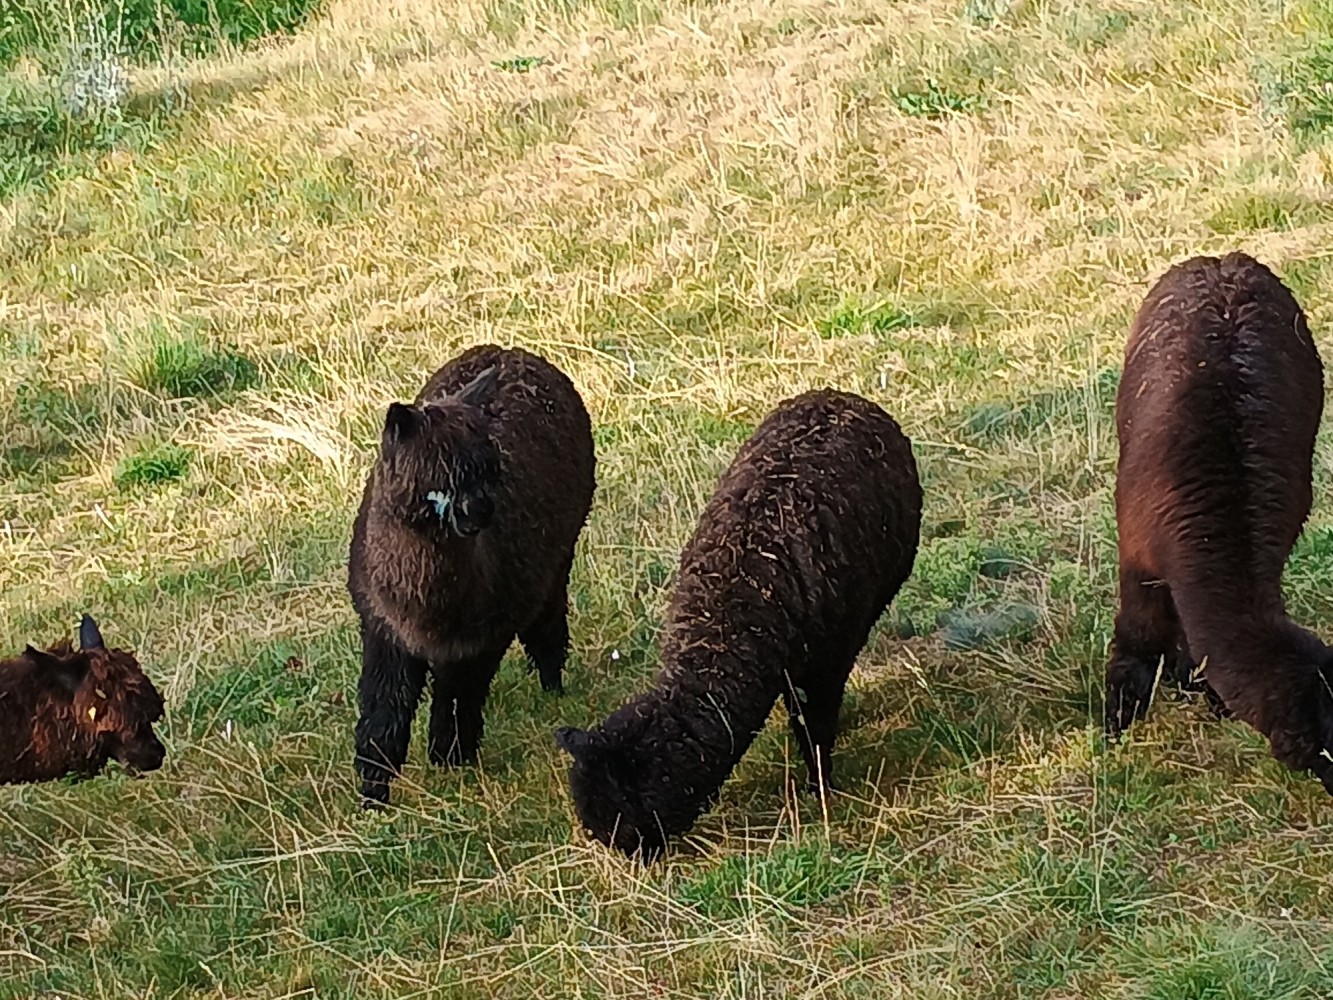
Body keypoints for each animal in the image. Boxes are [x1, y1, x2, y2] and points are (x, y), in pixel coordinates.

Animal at [349, 344, 596, 807]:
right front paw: (374, 792)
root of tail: (511, 350)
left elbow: (458, 699)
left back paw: (552, 687)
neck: (427, 613)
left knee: (548, 624)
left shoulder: (481, 637)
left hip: (558, 559)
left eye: (491, 467)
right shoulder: (382, 628)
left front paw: (450, 761)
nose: (480, 510)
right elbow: (383, 710)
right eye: (438, 471)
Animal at [555, 389, 922, 858]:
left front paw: (821, 786)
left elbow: (815, 724)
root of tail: (836, 394)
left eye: (626, 808)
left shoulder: (825, 662)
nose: (635, 857)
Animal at [1106, 251, 1333, 794]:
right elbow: (1138, 638)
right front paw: (1115, 726)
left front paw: (1203, 691)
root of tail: (1225, 261)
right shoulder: (1137, 553)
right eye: (1327, 747)